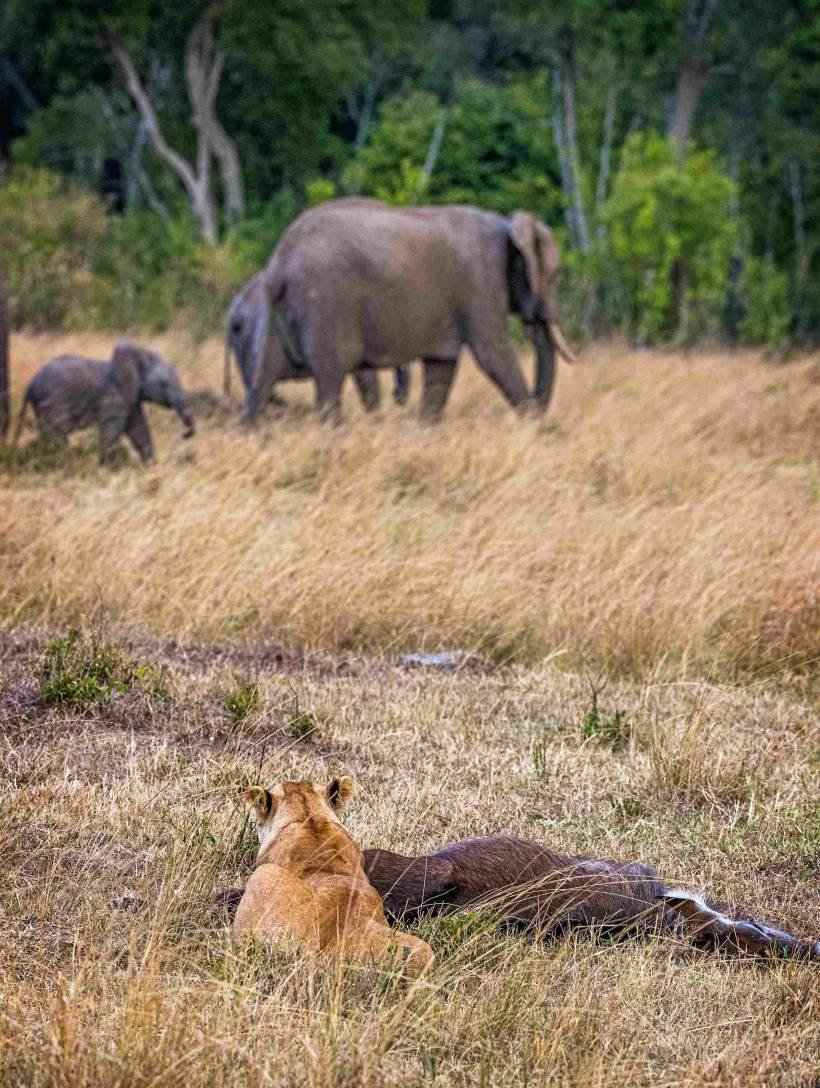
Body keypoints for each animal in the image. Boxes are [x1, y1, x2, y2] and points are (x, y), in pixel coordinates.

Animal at [12, 341, 195, 464]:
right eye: (164, 384)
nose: (185, 435)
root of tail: (31, 384)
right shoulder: (114, 398)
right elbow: (112, 430)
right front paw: (108, 468)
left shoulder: (131, 398)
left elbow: (138, 428)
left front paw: (151, 466)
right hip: (53, 401)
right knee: (55, 432)